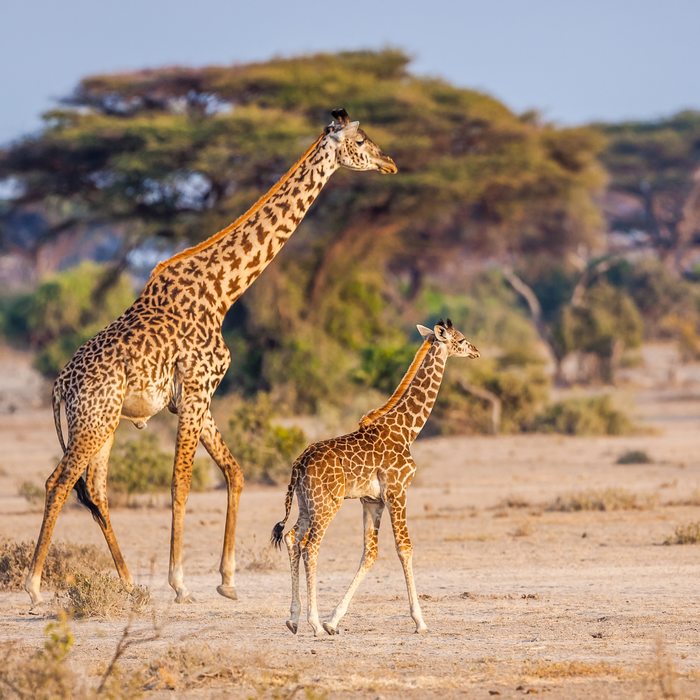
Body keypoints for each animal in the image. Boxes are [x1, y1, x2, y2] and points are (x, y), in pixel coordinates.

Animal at [24, 108, 396, 608]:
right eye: (359, 140)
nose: (389, 162)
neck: (223, 291)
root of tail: (60, 384)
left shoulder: (195, 396)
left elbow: (234, 472)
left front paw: (228, 579)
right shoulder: (198, 388)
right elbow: (181, 481)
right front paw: (180, 582)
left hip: (103, 422)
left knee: (95, 491)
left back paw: (128, 581)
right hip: (94, 419)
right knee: (59, 481)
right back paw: (35, 587)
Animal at [270, 320, 478, 636]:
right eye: (461, 339)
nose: (476, 351)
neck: (407, 430)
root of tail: (298, 463)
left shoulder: (372, 501)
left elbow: (370, 552)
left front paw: (334, 621)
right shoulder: (398, 490)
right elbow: (405, 548)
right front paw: (420, 622)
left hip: (307, 502)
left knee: (293, 538)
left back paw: (294, 619)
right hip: (327, 503)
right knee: (310, 546)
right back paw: (313, 623)